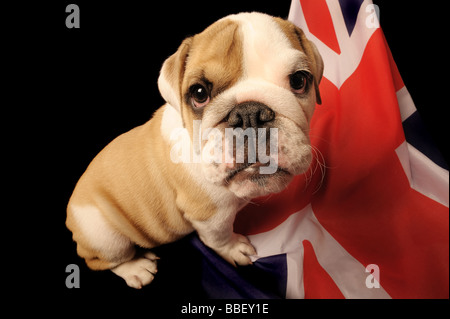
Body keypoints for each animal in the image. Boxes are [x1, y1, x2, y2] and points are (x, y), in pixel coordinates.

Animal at [65, 11, 322, 290]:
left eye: (299, 80)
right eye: (199, 93)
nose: (250, 113)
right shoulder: (211, 215)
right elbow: (218, 238)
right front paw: (234, 249)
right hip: (105, 236)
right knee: (104, 260)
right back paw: (136, 268)